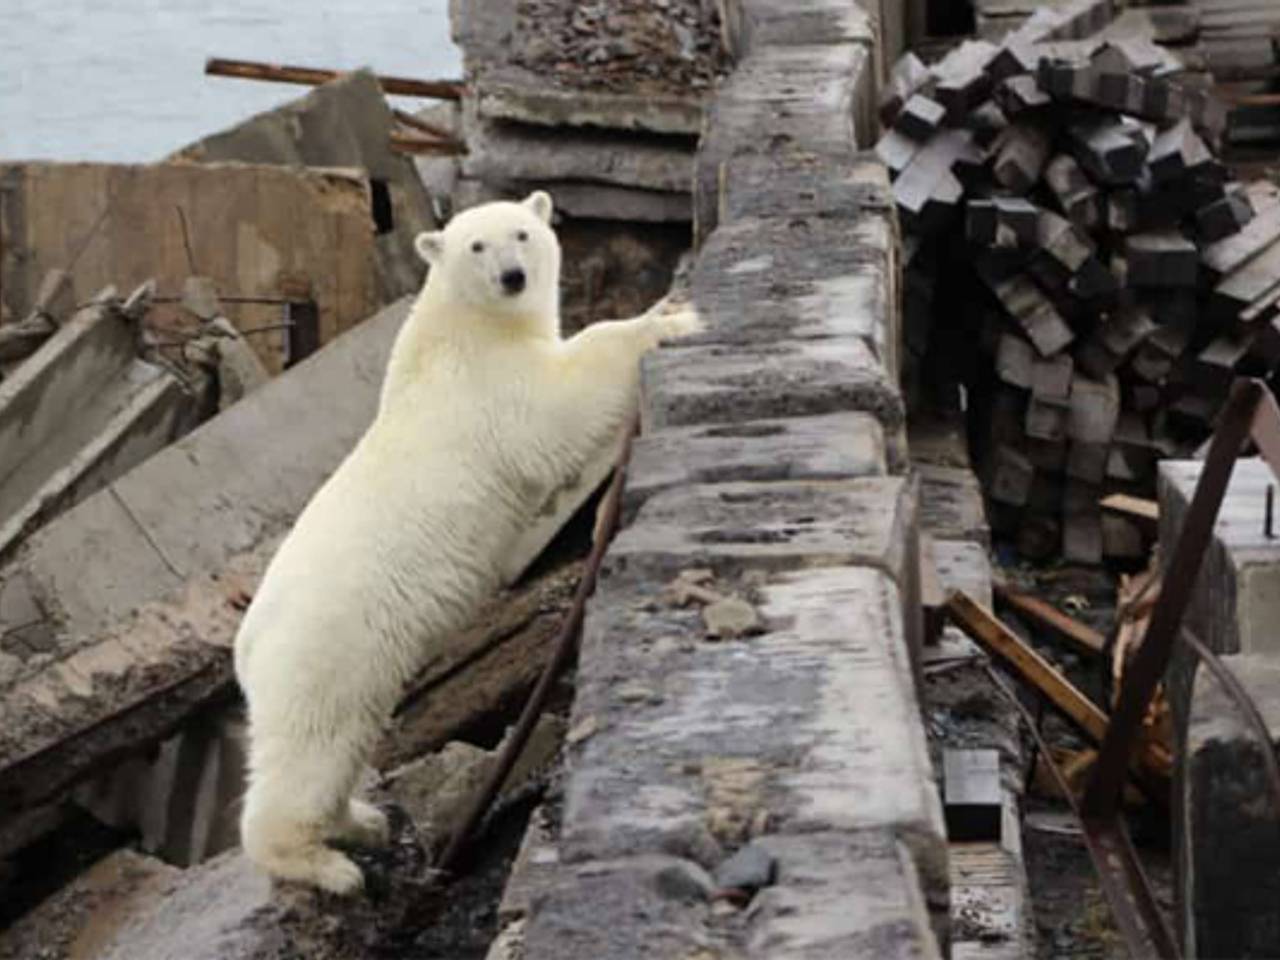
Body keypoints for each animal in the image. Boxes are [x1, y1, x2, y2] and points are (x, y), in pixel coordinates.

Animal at [235, 192, 706, 901]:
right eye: (476, 247)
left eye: (522, 233)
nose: (512, 277)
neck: (460, 326)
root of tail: (245, 647)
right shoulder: (491, 391)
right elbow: (558, 405)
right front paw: (674, 323)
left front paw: (667, 304)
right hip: (322, 652)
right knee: (310, 749)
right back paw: (327, 865)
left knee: (342, 745)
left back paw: (362, 820)